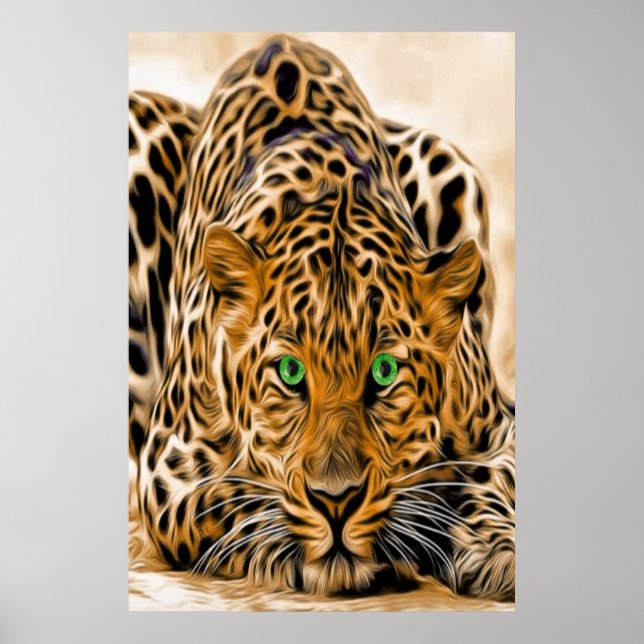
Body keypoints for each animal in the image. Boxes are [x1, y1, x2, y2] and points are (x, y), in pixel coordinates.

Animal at [129, 34, 515, 601]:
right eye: (290, 373)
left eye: (384, 372)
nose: (337, 501)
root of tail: (282, 41)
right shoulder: (169, 468)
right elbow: (236, 500)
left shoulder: (500, 427)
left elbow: (495, 478)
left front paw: (496, 549)